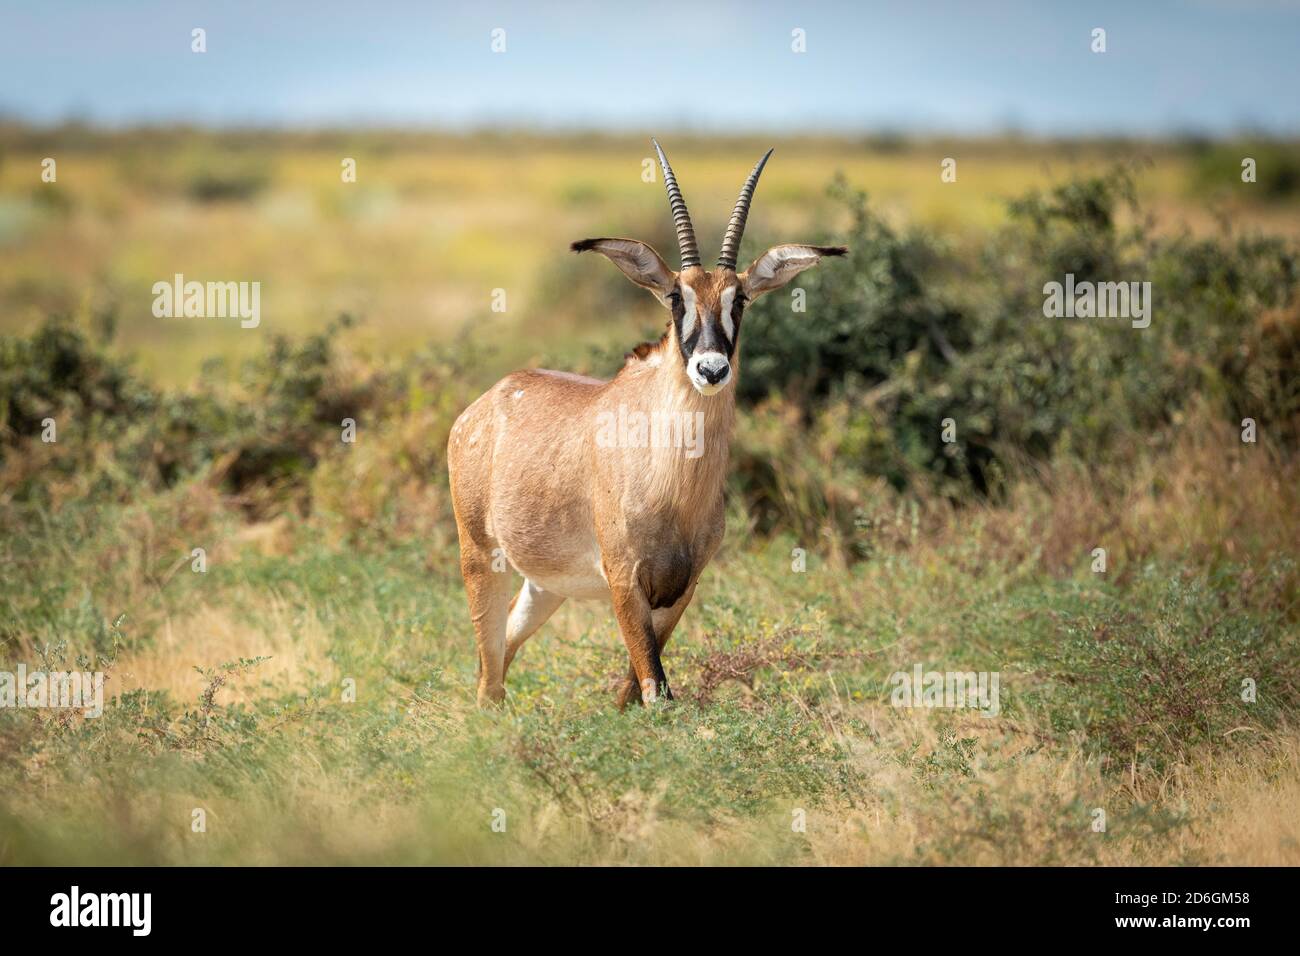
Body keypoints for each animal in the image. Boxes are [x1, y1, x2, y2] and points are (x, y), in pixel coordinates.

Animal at [452, 141, 847, 712]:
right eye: (677, 298)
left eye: (740, 299)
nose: (711, 369)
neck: (673, 480)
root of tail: (485, 404)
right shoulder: (624, 580)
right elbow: (654, 688)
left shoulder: (681, 589)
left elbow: (634, 689)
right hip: (482, 556)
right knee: (488, 667)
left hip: (545, 586)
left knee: (503, 647)